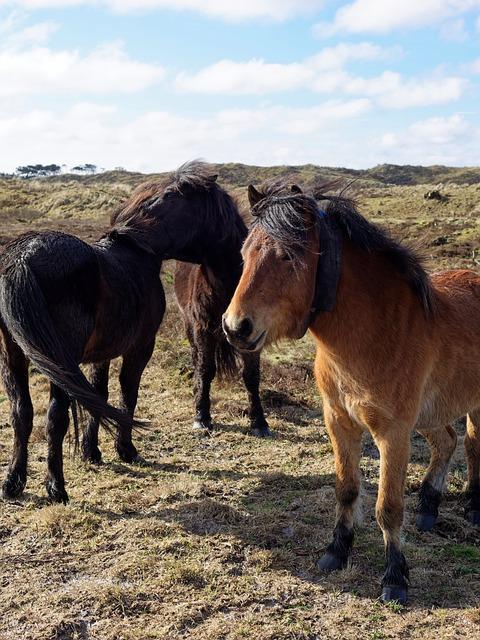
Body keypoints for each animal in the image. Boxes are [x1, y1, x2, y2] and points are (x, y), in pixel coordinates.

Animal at [222, 181, 480, 604]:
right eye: (244, 254)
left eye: (289, 256)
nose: (234, 327)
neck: (376, 332)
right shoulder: (340, 423)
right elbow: (346, 489)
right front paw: (336, 552)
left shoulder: (393, 433)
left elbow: (387, 506)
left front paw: (395, 577)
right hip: (432, 413)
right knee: (447, 441)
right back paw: (428, 509)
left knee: (472, 444)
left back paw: (474, 506)